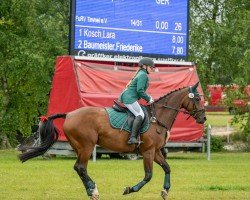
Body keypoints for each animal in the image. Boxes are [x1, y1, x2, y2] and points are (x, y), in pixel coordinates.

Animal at [18, 81, 206, 200]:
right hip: (86, 146)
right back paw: (93, 191)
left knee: (79, 168)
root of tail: (69, 114)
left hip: (80, 147)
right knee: (80, 167)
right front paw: (130, 189)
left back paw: (91, 190)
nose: (203, 118)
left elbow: (167, 168)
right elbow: (148, 175)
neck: (157, 118)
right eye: (197, 99)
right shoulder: (148, 152)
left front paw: (165, 191)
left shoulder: (156, 152)